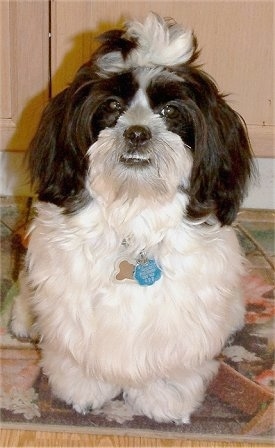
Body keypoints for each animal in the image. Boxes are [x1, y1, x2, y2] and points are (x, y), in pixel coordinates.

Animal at [11, 13, 256, 424]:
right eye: (112, 105)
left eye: (170, 112)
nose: (137, 133)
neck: (134, 213)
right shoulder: (70, 295)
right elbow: (77, 343)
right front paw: (84, 386)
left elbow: (172, 356)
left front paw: (164, 395)